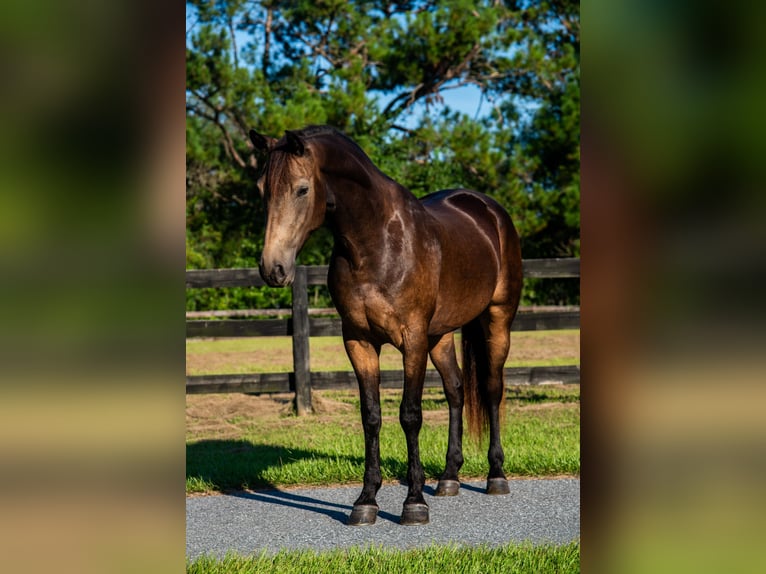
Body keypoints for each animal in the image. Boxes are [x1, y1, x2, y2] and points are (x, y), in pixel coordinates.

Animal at [249, 125, 523, 526]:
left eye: (302, 189)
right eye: (261, 189)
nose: (273, 269)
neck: (375, 244)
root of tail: (490, 210)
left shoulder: (412, 340)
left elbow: (410, 415)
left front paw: (414, 503)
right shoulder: (359, 341)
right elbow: (371, 416)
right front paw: (366, 500)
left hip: (497, 319)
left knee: (491, 389)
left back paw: (496, 476)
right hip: (440, 336)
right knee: (456, 391)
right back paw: (449, 478)